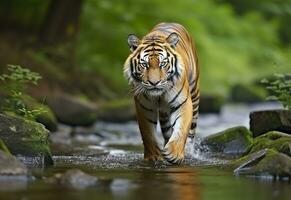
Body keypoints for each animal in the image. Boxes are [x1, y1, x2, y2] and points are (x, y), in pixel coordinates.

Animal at [123, 22, 201, 164]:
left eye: (163, 63)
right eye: (144, 64)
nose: (154, 83)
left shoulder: (183, 103)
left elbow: (181, 129)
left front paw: (174, 154)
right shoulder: (144, 108)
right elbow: (148, 133)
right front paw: (154, 156)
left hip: (194, 94)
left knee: (191, 130)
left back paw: (188, 152)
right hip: (164, 112)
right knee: (167, 130)